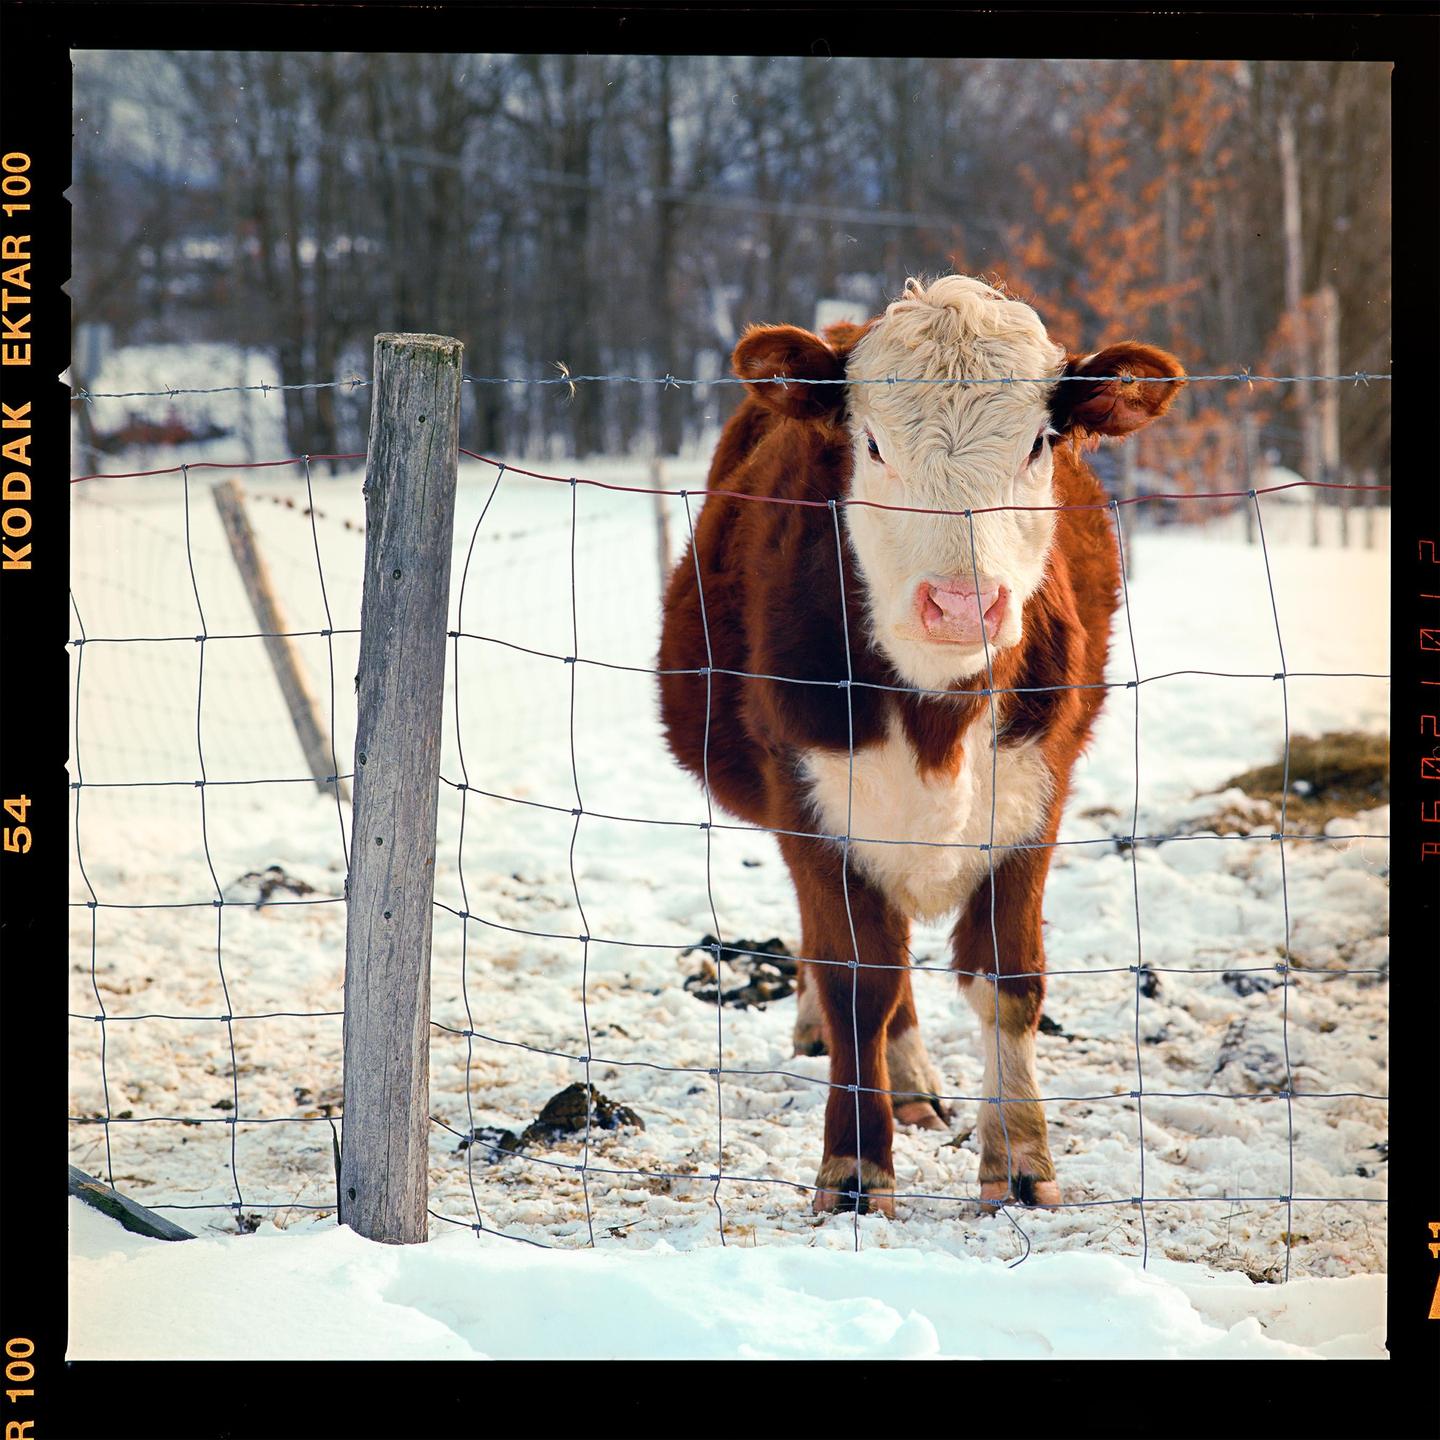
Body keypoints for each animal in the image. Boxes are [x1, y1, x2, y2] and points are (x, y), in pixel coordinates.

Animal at [658, 275, 1184, 1216]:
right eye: (872, 443)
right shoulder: (809, 802)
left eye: (1040, 443)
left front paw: (1020, 1159)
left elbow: (1010, 980)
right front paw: (855, 1166)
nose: (963, 603)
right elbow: (856, 982)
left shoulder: (1034, 795)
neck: (939, 713)